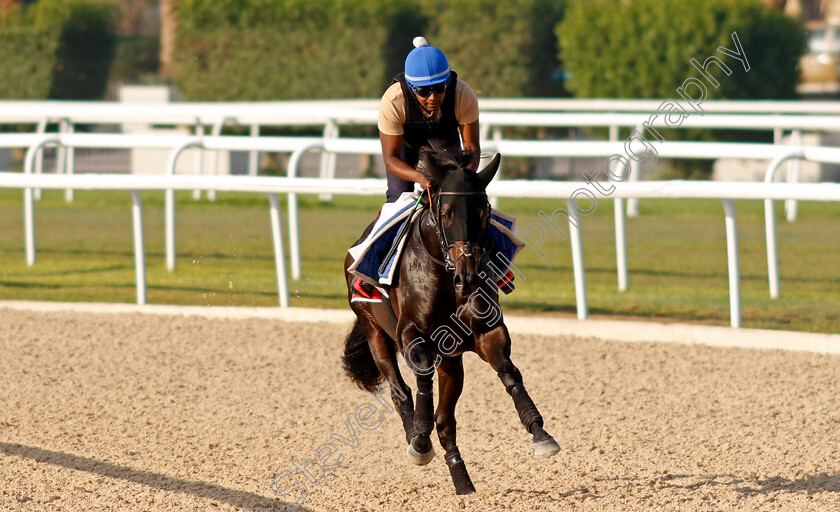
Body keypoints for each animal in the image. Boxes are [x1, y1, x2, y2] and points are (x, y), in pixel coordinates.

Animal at [342, 142, 556, 494]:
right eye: (446, 213)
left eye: (484, 212)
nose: (467, 276)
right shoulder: (409, 334)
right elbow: (420, 376)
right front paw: (419, 438)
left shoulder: (486, 332)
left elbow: (509, 372)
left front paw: (540, 432)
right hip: (375, 332)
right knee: (400, 391)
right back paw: (417, 438)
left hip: (452, 359)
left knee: (445, 421)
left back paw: (463, 481)